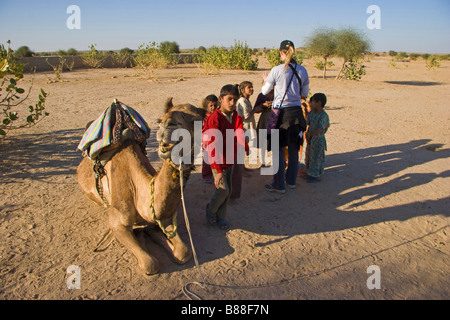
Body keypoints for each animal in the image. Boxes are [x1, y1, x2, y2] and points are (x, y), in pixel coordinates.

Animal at [77, 99, 206, 274]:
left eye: (196, 120)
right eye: (162, 117)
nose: (166, 124)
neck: (139, 191)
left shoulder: (165, 218)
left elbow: (184, 252)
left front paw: (153, 234)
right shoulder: (117, 223)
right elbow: (150, 264)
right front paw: (142, 236)